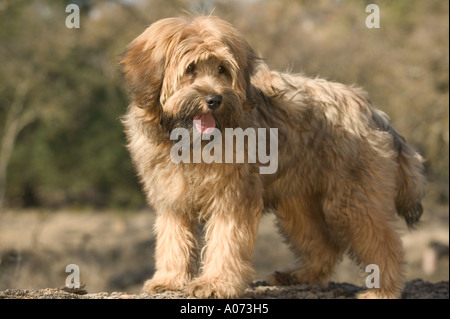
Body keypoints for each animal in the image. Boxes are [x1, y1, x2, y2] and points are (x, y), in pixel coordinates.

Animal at [118, 15, 422, 300]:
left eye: (222, 69)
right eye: (190, 69)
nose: (214, 100)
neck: (190, 141)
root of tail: (371, 109)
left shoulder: (233, 196)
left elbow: (225, 240)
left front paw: (216, 283)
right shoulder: (171, 197)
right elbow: (173, 239)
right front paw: (169, 279)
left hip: (353, 199)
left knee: (384, 245)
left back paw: (381, 290)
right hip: (299, 201)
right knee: (324, 245)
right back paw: (300, 276)